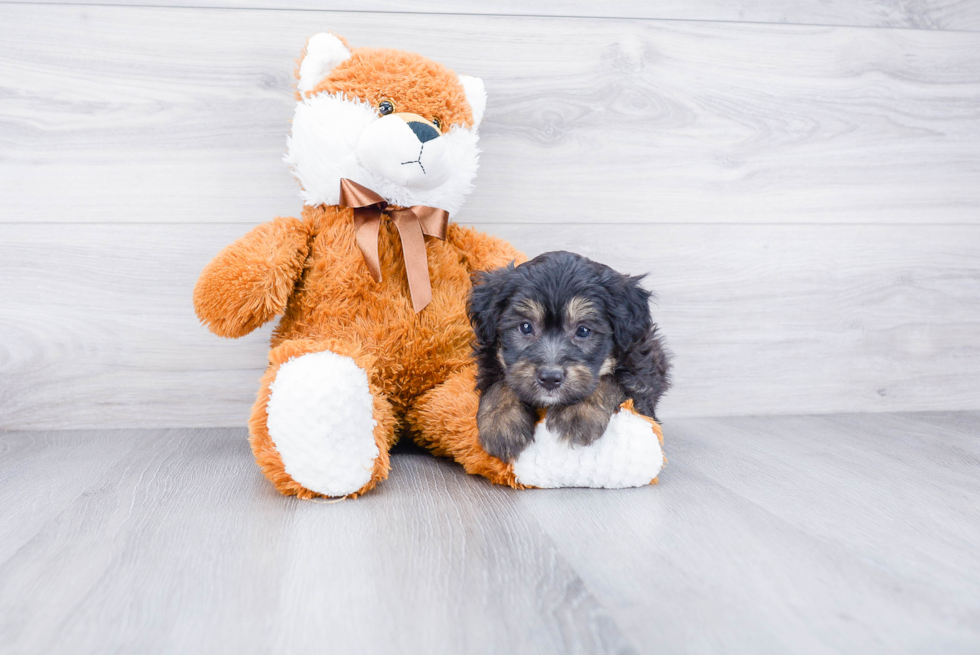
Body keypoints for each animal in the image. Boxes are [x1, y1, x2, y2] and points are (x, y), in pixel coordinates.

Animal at [468, 250, 672, 462]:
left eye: (583, 330)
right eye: (525, 327)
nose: (550, 379)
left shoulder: (641, 375)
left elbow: (610, 381)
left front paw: (577, 413)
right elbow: (499, 384)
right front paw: (501, 422)